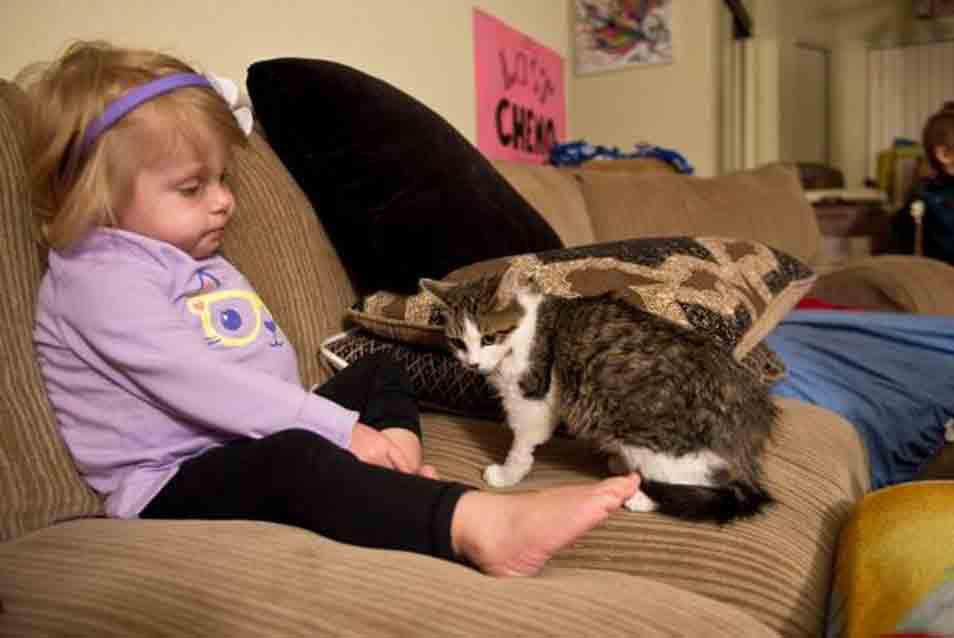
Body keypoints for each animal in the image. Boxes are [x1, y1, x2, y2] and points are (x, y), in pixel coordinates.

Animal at [420, 276, 776, 524]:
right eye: (457, 342)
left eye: (488, 338)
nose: (472, 364)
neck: (522, 331)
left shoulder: (531, 398)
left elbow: (521, 446)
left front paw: (507, 475)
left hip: (657, 444)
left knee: (700, 481)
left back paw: (641, 496)